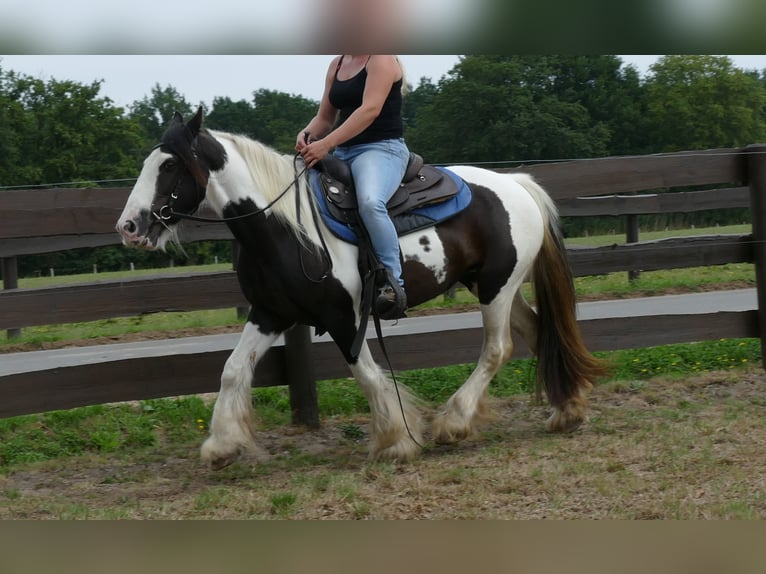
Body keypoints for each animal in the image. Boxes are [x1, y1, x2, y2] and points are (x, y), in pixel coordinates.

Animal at [115, 109, 608, 472]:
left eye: (170, 164)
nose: (129, 226)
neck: (287, 229)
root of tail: (517, 185)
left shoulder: (342, 317)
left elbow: (368, 375)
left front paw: (396, 441)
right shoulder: (269, 312)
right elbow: (234, 370)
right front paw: (222, 445)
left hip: (496, 288)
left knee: (497, 348)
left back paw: (453, 422)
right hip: (494, 285)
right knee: (538, 332)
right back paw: (567, 410)